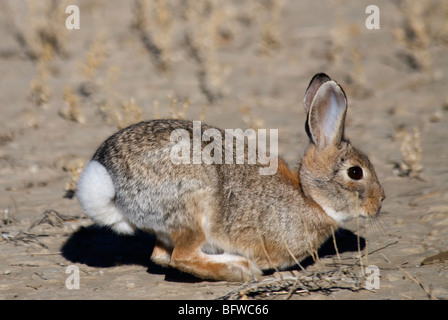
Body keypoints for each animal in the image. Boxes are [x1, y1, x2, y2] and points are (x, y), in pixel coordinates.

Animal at [77, 74, 384, 282]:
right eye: (355, 172)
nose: (380, 202)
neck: (310, 198)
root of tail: (109, 183)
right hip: (195, 207)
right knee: (181, 257)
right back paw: (242, 269)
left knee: (162, 256)